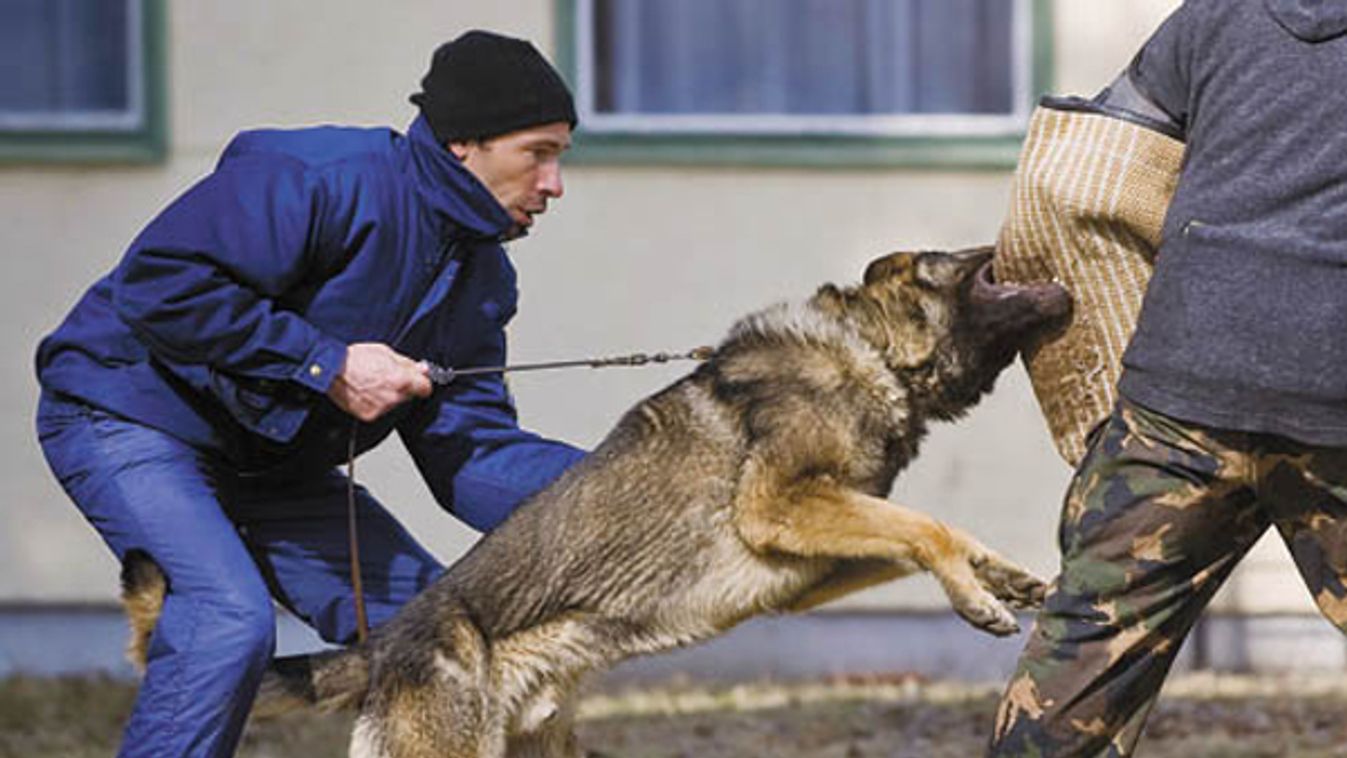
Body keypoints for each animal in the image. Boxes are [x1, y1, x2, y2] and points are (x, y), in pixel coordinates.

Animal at [126, 246, 1072, 753]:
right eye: (976, 262)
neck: (871, 354)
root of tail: (385, 643)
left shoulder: (810, 563)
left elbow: (921, 531)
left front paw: (1002, 579)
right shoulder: (779, 506)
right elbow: (925, 524)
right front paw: (979, 595)